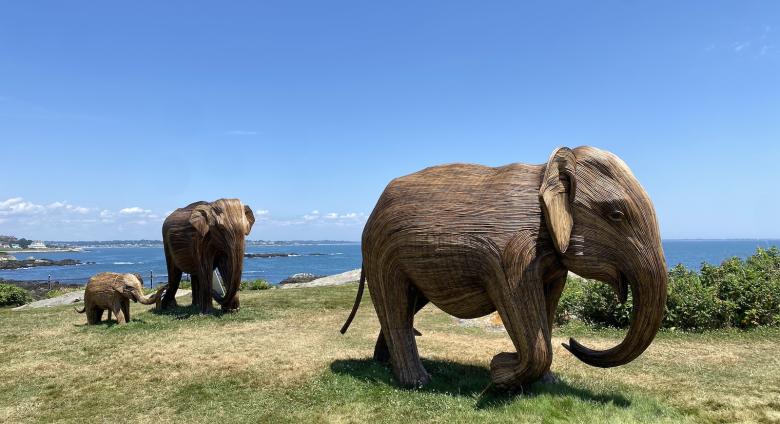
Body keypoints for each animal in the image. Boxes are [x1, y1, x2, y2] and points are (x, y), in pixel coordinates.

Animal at [341, 146, 667, 389]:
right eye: (616, 214)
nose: (572, 342)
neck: (546, 171)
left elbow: (547, 307)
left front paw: (544, 383)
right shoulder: (512, 252)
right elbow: (518, 307)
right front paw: (498, 370)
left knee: (407, 307)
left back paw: (383, 365)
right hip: (382, 251)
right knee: (395, 306)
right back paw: (416, 382)